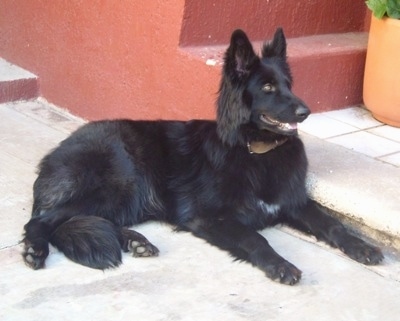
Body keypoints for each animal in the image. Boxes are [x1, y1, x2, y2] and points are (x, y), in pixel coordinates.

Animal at [22, 27, 384, 282]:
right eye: (268, 87)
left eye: (289, 84)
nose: (305, 111)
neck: (256, 150)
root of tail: (54, 156)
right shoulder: (211, 217)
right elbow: (256, 239)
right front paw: (280, 264)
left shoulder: (295, 203)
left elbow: (333, 224)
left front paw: (362, 246)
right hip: (121, 182)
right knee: (44, 220)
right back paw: (35, 250)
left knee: (93, 220)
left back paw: (135, 241)